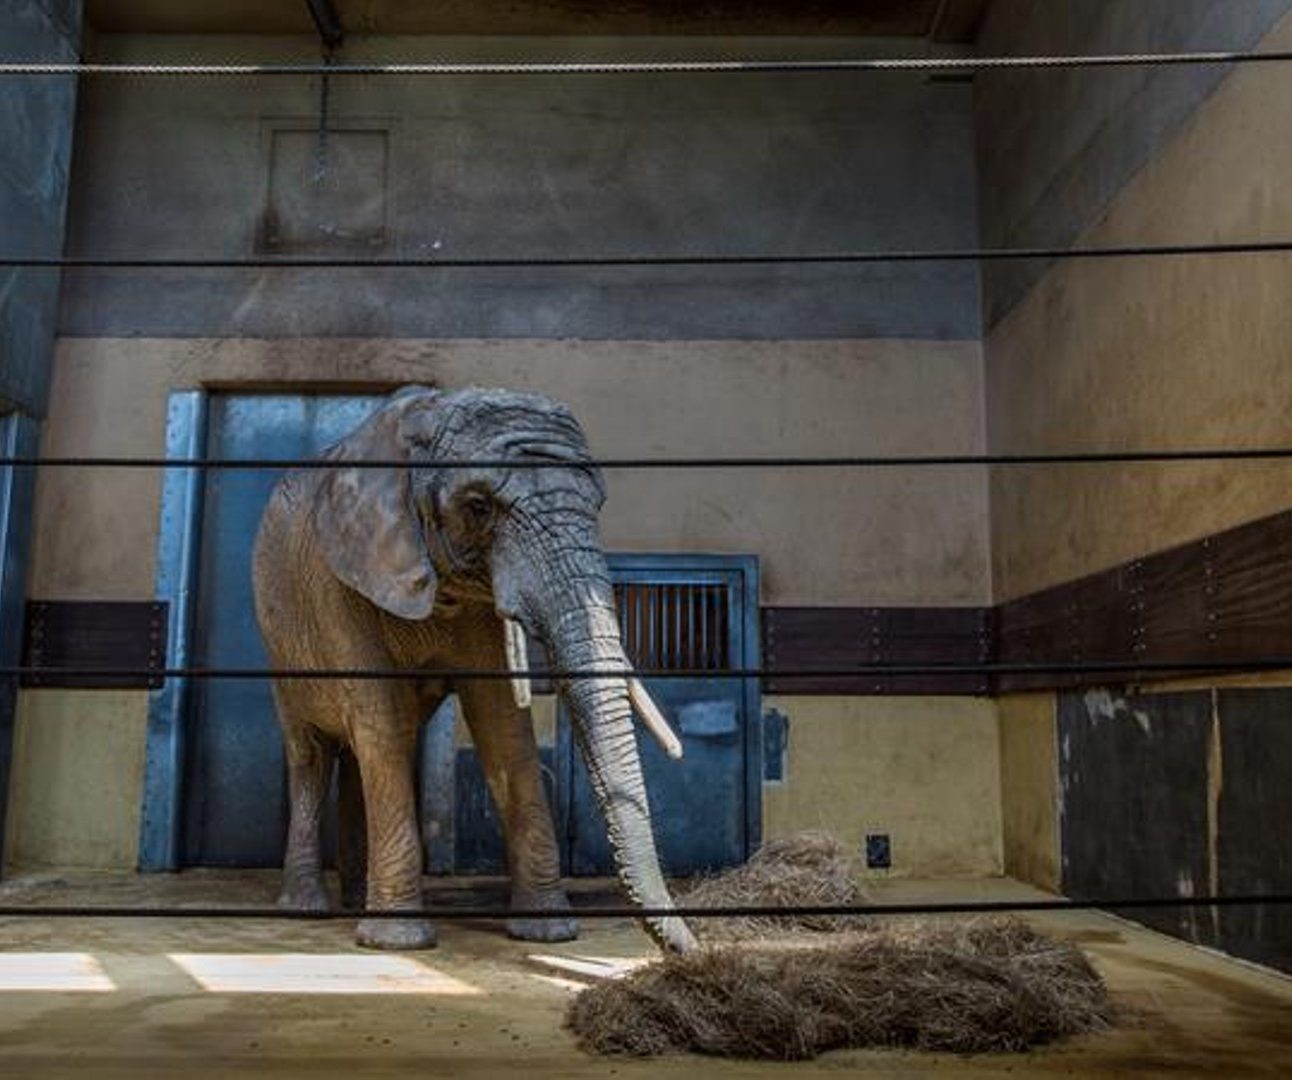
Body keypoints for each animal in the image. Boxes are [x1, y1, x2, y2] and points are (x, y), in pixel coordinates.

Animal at [251, 382, 697, 955]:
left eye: (597, 504)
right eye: (479, 506)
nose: (696, 948)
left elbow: (501, 722)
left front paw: (549, 931)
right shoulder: (338, 580)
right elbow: (381, 716)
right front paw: (399, 942)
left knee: (361, 752)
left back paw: (353, 899)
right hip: (279, 640)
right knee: (312, 753)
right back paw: (307, 909)